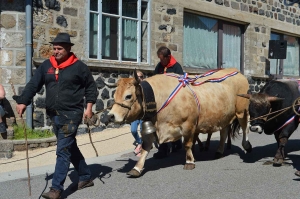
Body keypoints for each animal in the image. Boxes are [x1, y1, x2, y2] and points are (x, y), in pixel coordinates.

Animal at [107, 68, 251, 177]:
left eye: (128, 96)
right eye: (114, 95)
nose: (111, 116)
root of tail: (236, 71)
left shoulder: (189, 124)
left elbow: (187, 144)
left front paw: (189, 162)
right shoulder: (151, 127)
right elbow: (145, 148)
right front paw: (137, 168)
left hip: (241, 111)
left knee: (245, 127)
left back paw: (247, 145)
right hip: (224, 116)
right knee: (224, 133)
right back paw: (219, 151)